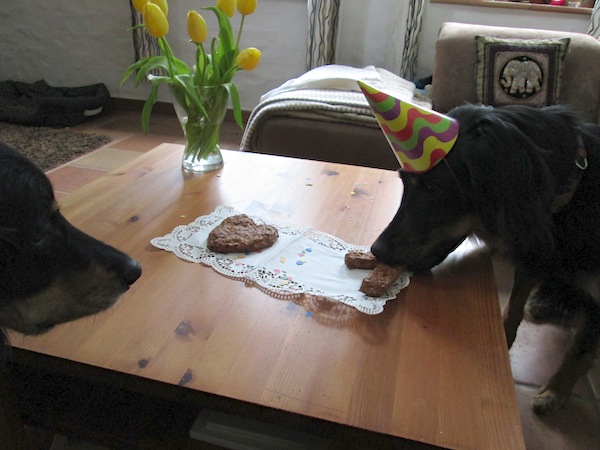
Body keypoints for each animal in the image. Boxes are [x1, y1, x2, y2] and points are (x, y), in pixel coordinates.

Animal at [370, 104, 600, 415]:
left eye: (433, 189)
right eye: (404, 182)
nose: (376, 250)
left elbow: (580, 349)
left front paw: (555, 391)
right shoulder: (532, 251)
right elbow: (513, 306)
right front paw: (500, 341)